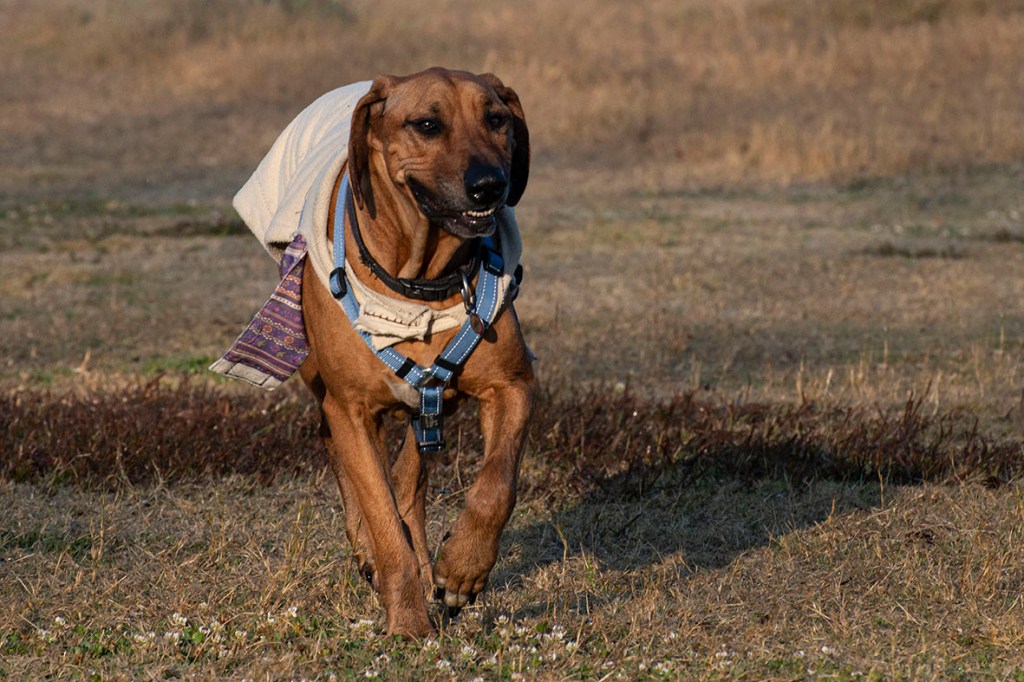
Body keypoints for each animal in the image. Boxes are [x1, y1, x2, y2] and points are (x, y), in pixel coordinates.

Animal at [297, 68, 535, 637]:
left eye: (497, 119)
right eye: (427, 124)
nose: (490, 184)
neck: (420, 281)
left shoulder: (512, 385)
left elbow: (496, 484)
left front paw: (463, 568)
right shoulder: (352, 409)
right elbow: (383, 520)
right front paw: (407, 623)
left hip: (431, 405)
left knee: (410, 481)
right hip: (322, 381)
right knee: (345, 456)